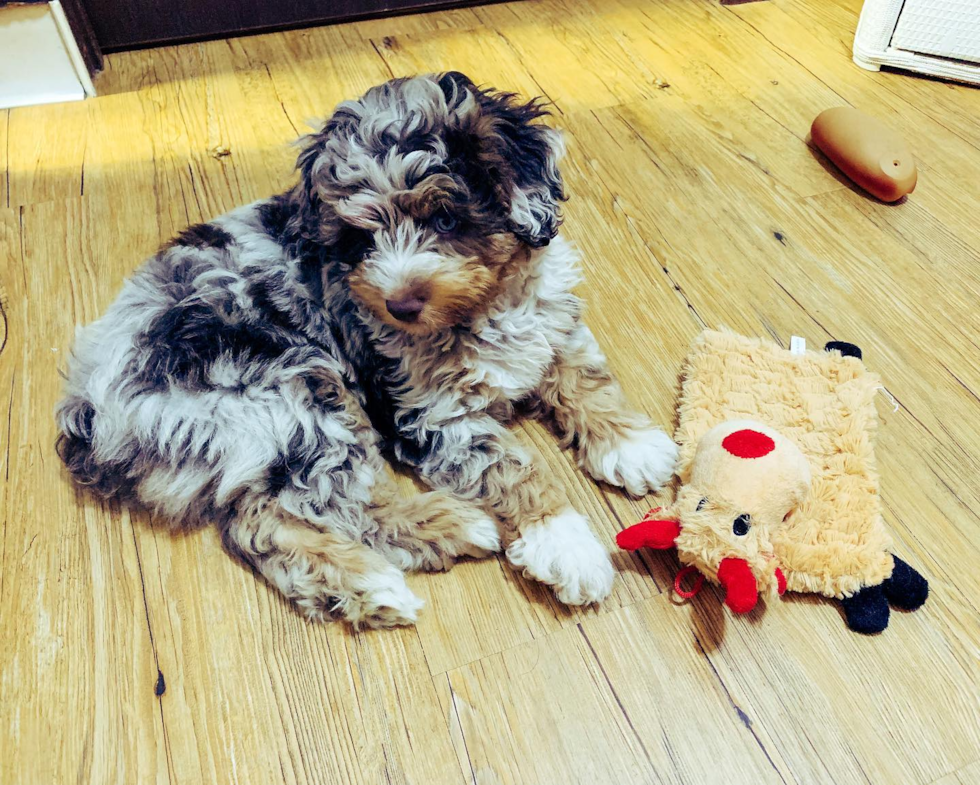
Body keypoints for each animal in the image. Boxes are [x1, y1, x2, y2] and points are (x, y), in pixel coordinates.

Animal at [57, 72, 676, 624]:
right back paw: (435, 539)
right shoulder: (431, 414)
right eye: (361, 239)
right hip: (294, 390)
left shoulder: (555, 325)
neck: (485, 308)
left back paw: (367, 585)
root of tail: (91, 403)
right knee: (333, 501)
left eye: (445, 218)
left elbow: (582, 377)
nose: (399, 305)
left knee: (260, 520)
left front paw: (631, 445)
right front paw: (564, 541)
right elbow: (508, 465)